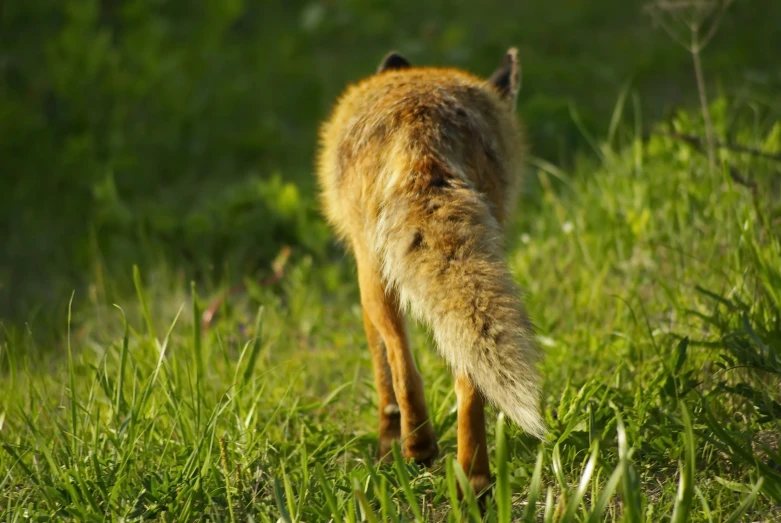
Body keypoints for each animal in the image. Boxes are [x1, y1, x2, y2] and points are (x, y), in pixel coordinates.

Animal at [316, 48, 544, 496]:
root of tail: (420, 120)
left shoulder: (363, 265)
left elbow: (382, 368)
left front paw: (387, 440)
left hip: (375, 270)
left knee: (402, 361)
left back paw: (417, 446)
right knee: (468, 376)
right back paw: (474, 480)